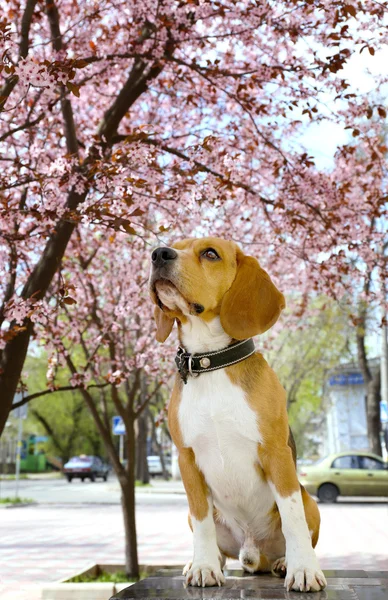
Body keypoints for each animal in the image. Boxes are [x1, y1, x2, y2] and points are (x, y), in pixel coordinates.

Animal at [150, 238, 326, 592]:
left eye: (210, 254)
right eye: (173, 246)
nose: (159, 254)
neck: (211, 361)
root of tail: (252, 551)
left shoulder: (276, 454)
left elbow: (293, 519)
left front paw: (303, 569)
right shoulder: (187, 459)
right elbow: (202, 521)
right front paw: (204, 566)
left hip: (310, 502)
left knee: (292, 531)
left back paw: (285, 562)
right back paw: (203, 561)